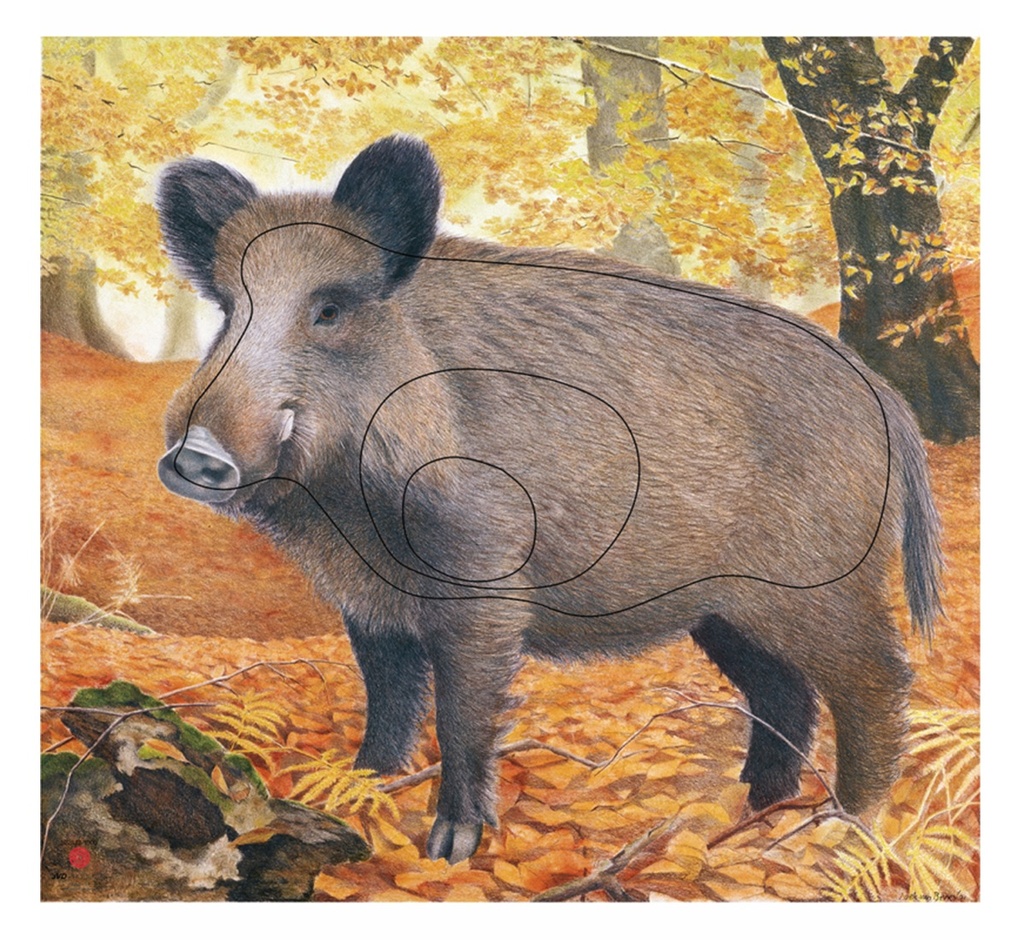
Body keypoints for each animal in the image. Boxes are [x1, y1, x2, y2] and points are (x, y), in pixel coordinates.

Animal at [156, 135, 942, 863]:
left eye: (329, 309)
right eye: (227, 309)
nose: (197, 455)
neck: (348, 509)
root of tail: (890, 403)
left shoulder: (484, 580)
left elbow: (464, 711)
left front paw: (450, 850)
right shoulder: (368, 599)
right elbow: (388, 702)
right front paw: (352, 793)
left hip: (825, 582)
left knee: (880, 680)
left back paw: (840, 829)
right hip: (724, 609)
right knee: (784, 692)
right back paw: (749, 813)